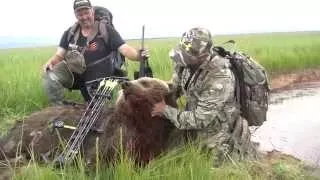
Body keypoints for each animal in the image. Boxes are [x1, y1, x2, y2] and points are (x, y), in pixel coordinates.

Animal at [0, 76, 179, 167]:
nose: (125, 84)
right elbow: (95, 159)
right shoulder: (109, 140)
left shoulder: (153, 143)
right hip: (24, 135)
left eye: (145, 81)